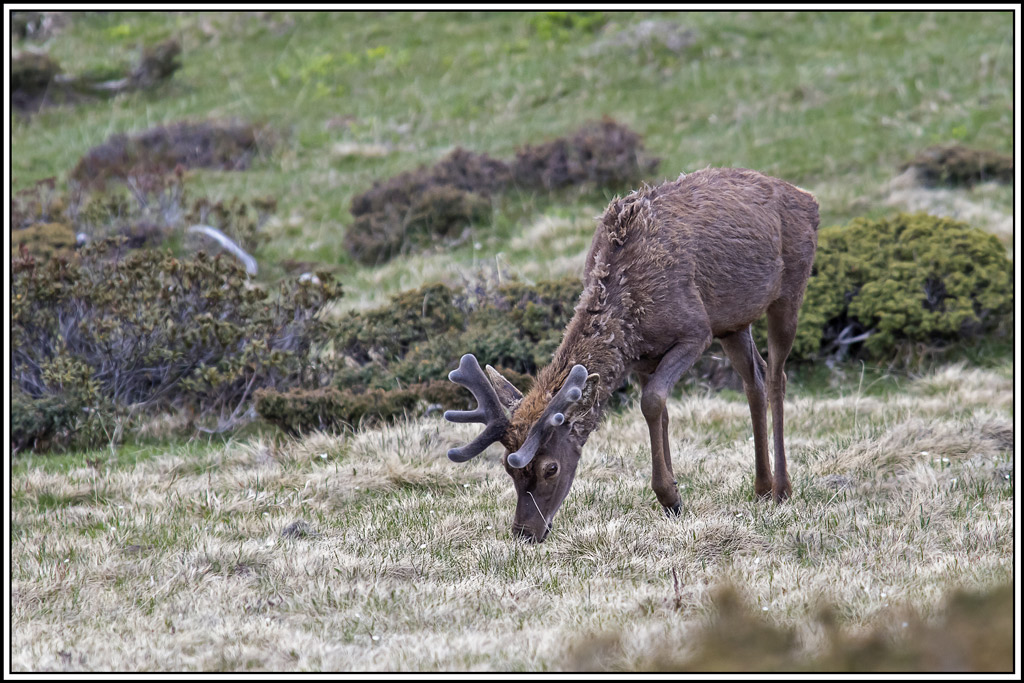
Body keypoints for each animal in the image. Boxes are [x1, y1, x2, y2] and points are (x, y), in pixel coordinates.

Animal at [443, 167, 819, 542]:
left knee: (777, 376)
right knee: (754, 379)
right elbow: (660, 412)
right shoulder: (641, 357)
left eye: (551, 468)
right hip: (734, 322)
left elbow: (651, 401)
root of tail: (808, 198)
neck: (629, 312)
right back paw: (761, 487)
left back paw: (782, 489)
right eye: (509, 470)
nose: (524, 532)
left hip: (789, 290)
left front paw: (669, 495)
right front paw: (674, 497)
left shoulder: (695, 331)